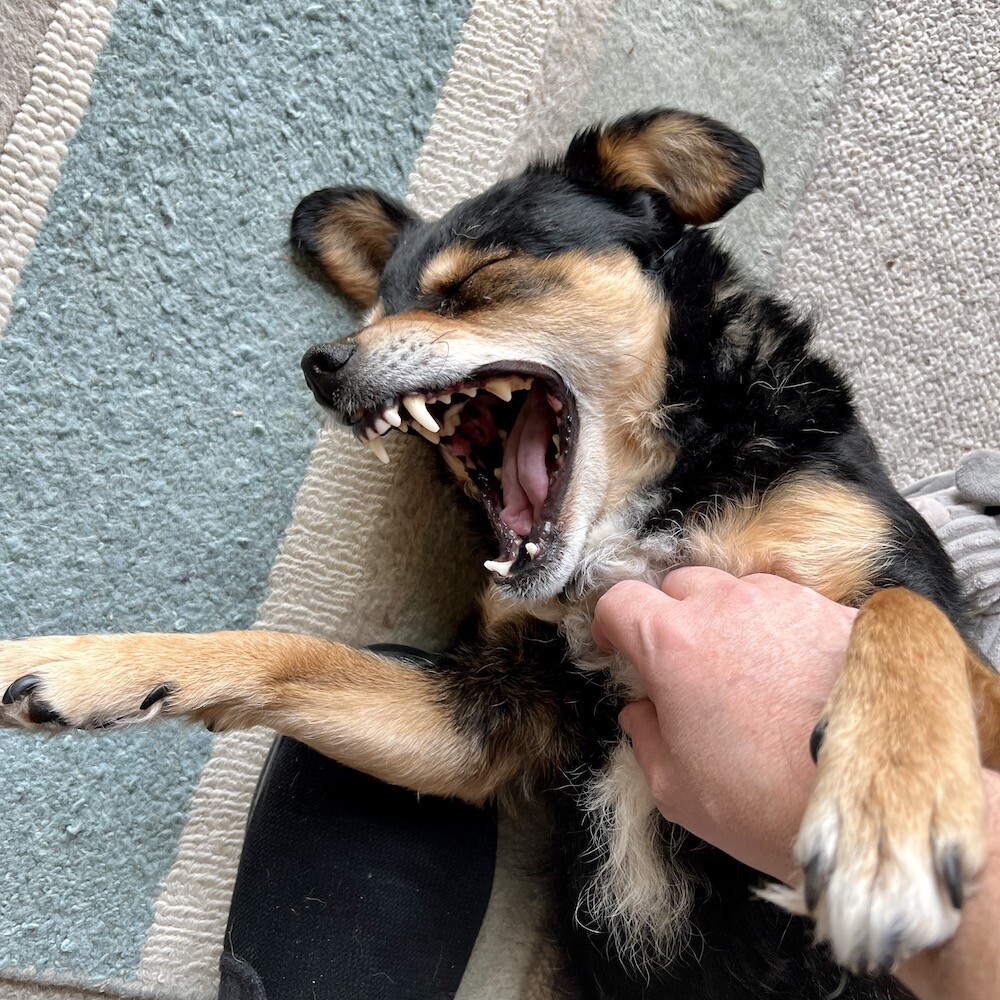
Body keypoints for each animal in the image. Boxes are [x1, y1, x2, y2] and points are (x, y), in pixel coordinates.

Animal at [2, 108, 999, 999]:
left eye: (476, 280)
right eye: (381, 306)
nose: (323, 362)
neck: (624, 526)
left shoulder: (893, 581)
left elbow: (901, 615)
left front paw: (889, 816)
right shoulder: (480, 719)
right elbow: (287, 650)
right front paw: (90, 666)